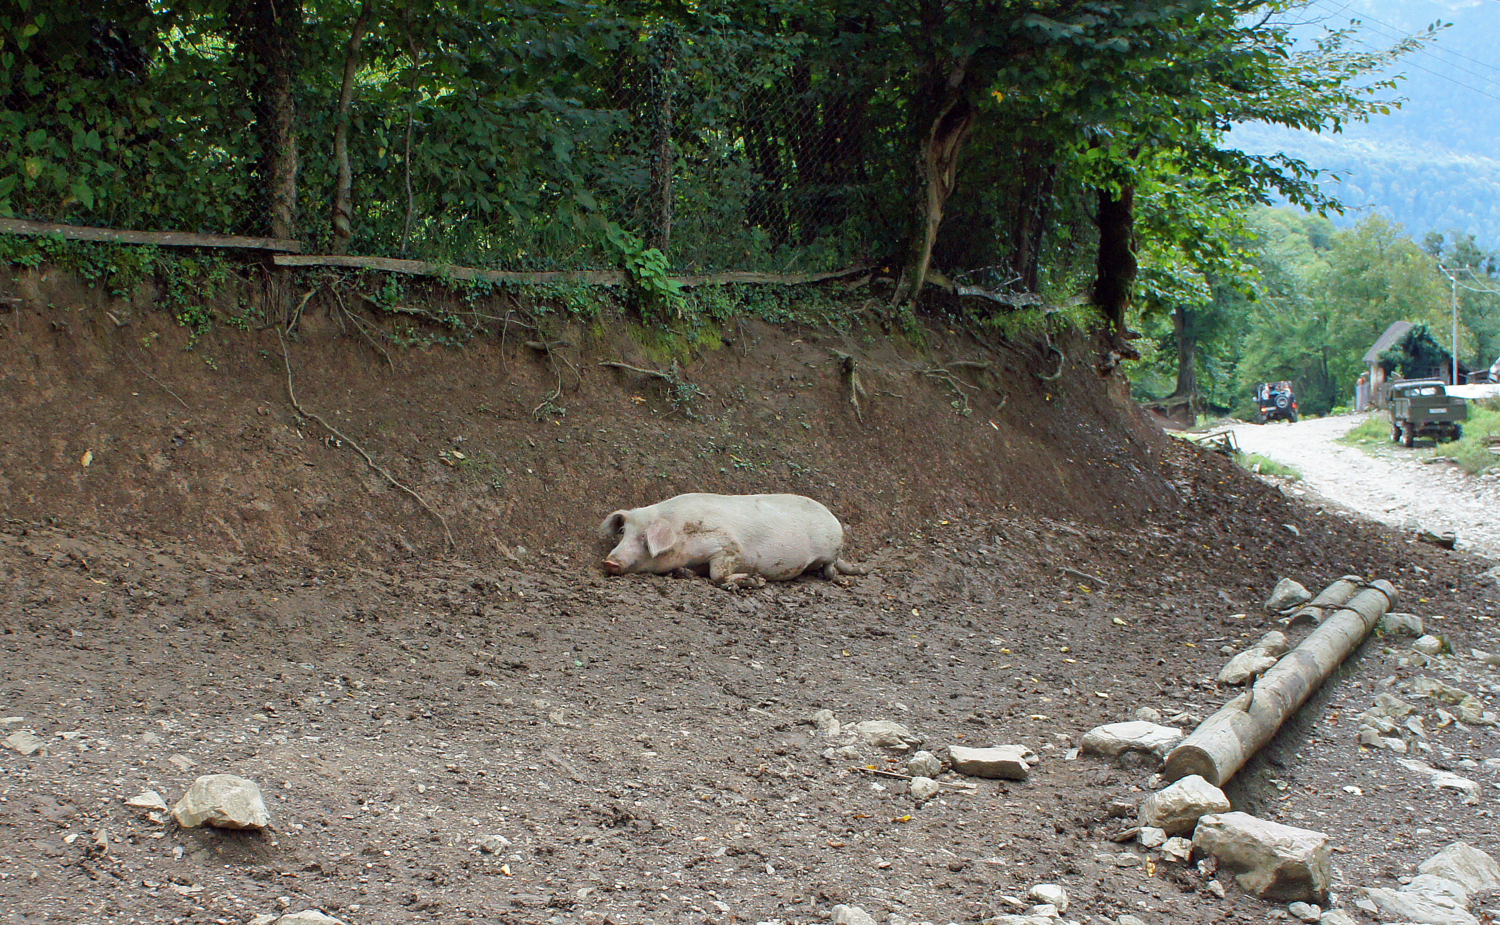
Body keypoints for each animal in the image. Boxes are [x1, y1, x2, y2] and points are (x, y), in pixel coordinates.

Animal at [597, 491, 870, 584]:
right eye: (623, 533)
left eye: (644, 538)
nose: (609, 561)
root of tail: (832, 515)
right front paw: (684, 573)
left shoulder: (728, 547)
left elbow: (718, 574)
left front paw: (756, 580)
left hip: (830, 547)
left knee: (831, 565)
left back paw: (836, 576)